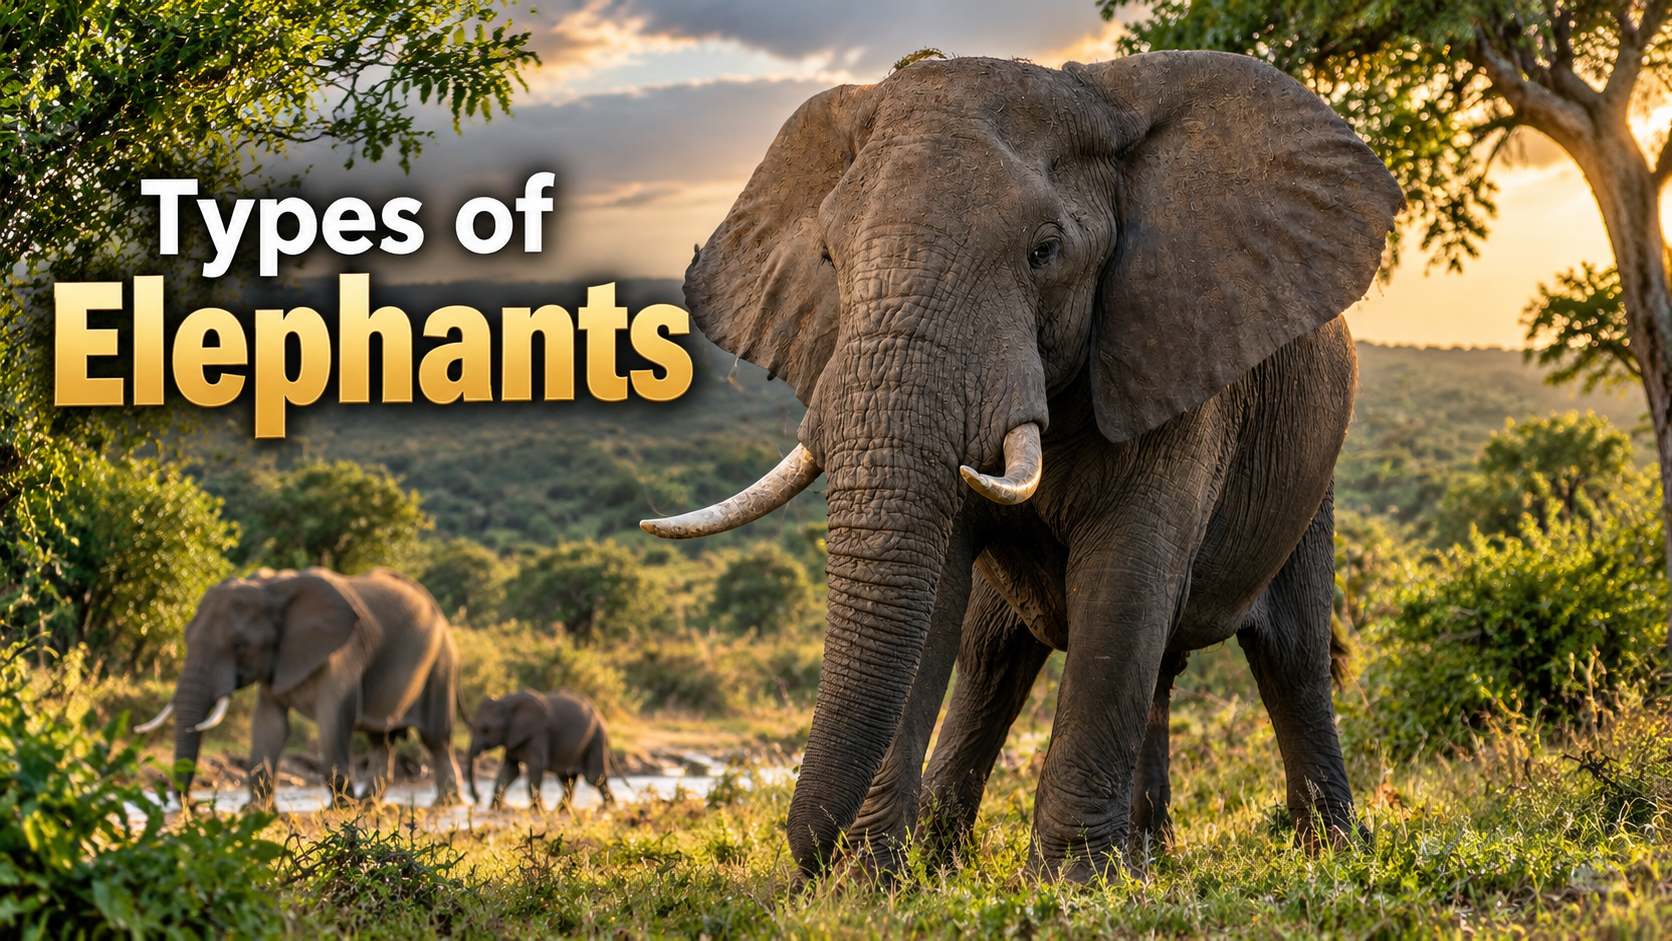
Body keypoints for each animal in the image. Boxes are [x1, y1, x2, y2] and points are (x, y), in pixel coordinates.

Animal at [135, 566, 463, 809]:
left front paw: (341, 809)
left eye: (240, 645)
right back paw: (371, 804)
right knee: (380, 739)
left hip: (442, 661)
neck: (274, 590)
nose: (191, 805)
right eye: (186, 638)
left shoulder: (342, 652)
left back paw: (447, 803)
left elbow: (332, 720)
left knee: (436, 738)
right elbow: (269, 725)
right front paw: (254, 810)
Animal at [465, 689, 617, 810]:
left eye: (486, 730)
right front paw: (494, 810)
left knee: (594, 778)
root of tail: (599, 714)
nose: (479, 798)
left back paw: (608, 807)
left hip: (596, 740)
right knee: (567, 779)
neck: (506, 702)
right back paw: (560, 811)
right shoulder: (512, 736)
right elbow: (509, 771)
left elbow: (536, 766)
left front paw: (538, 810)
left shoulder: (539, 733)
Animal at [640, 50, 1402, 882]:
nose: (814, 862)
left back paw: (1324, 852)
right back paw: (1090, 859)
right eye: (830, 258)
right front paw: (872, 883)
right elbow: (942, 595)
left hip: (1312, 479)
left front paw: (1069, 885)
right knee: (1000, 658)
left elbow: (1125, 586)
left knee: (1289, 654)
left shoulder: (1173, 355)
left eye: (1044, 252)